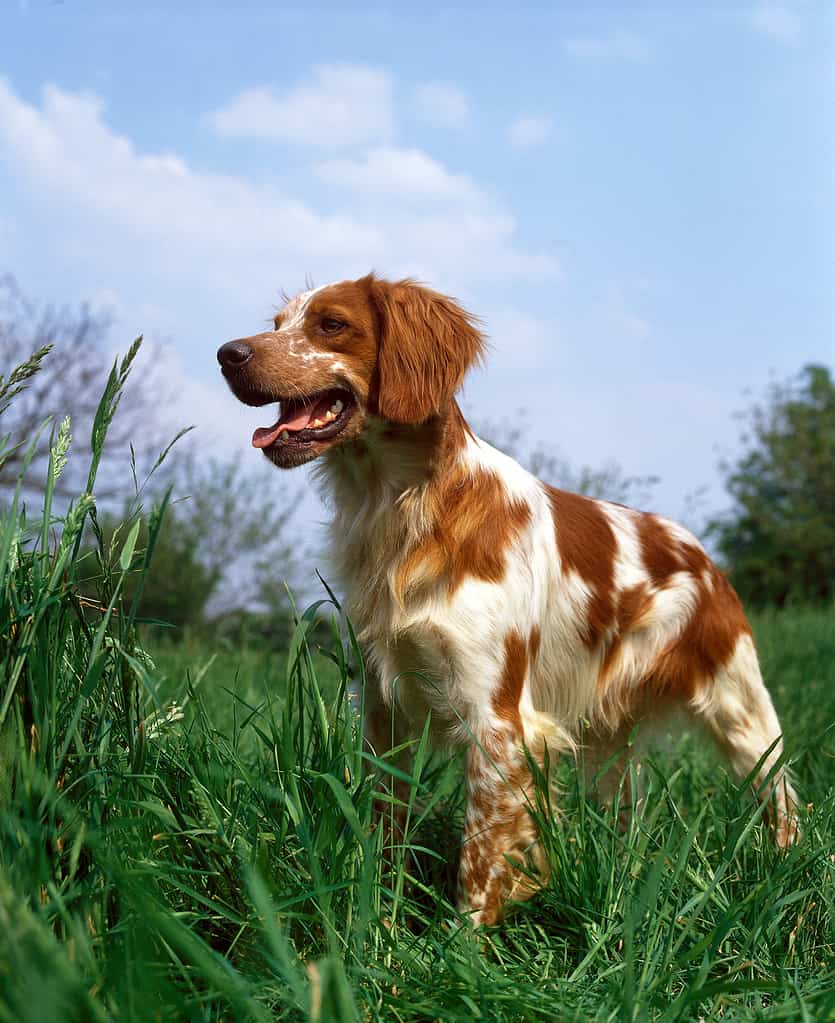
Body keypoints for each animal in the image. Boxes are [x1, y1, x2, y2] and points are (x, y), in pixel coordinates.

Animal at [218, 272, 798, 928]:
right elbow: (385, 825)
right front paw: (379, 921)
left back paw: (786, 875)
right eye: (276, 324)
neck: (406, 511)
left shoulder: (497, 718)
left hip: (742, 710)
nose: (227, 354)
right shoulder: (384, 708)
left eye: (331, 324)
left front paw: (460, 945)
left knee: (782, 795)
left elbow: (480, 855)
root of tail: (701, 552)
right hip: (609, 744)